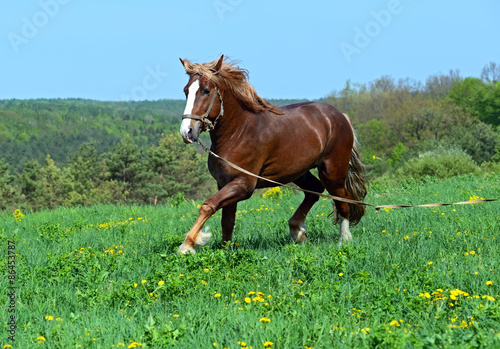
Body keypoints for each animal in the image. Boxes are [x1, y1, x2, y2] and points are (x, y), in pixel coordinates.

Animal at [178, 55, 366, 253]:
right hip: (298, 172)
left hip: (332, 171)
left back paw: (343, 240)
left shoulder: (244, 185)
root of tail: (341, 116)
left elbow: (208, 206)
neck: (238, 132)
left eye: (206, 91)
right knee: (315, 190)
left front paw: (188, 245)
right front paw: (225, 251)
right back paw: (297, 230)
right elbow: (227, 221)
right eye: (186, 91)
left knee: (343, 201)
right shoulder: (224, 183)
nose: (187, 132)